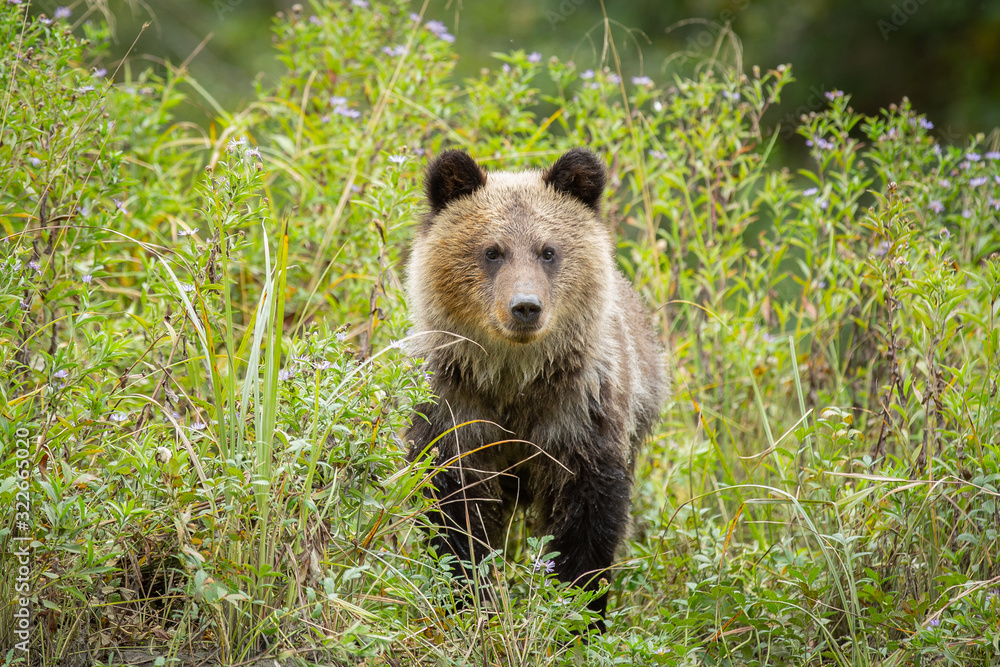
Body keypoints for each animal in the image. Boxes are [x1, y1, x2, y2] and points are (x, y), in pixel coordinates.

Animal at [405, 147, 668, 626]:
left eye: (548, 251)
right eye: (492, 251)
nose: (525, 306)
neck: (514, 379)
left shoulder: (579, 414)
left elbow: (586, 522)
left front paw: (575, 612)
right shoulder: (456, 408)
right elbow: (456, 514)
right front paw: (469, 598)